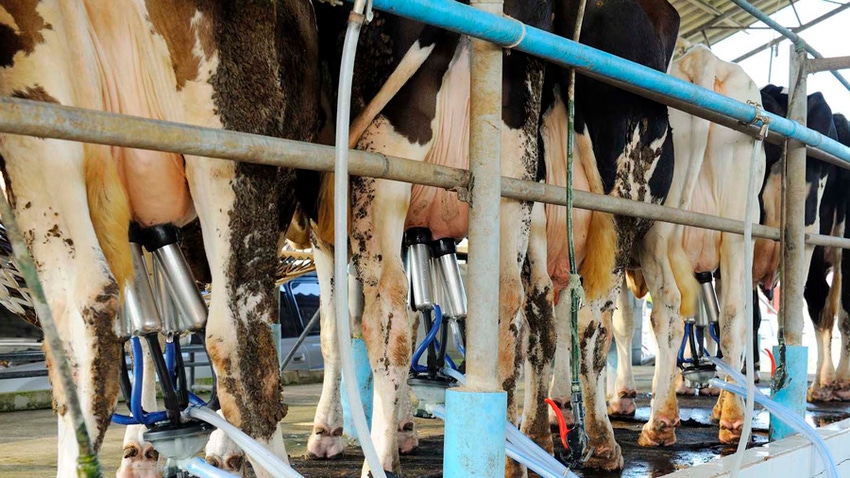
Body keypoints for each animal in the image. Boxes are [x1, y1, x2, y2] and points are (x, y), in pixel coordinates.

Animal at [300, 1, 556, 476]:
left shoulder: (324, 231)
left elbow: (335, 332)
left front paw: (328, 433)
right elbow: (416, 316)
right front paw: (404, 428)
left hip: (381, 176)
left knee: (388, 314)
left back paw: (378, 459)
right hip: (514, 185)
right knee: (513, 310)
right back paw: (512, 456)